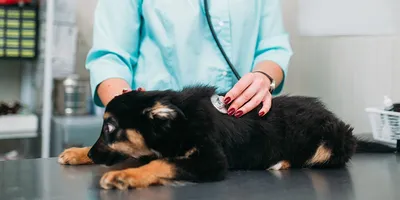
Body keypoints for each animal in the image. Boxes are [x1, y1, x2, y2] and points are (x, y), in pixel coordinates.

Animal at [57, 84, 396, 189]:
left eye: (110, 128)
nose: (93, 155)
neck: (180, 121)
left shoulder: (211, 160)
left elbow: (162, 163)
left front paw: (125, 176)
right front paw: (77, 152)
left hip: (330, 141)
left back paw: (281, 162)